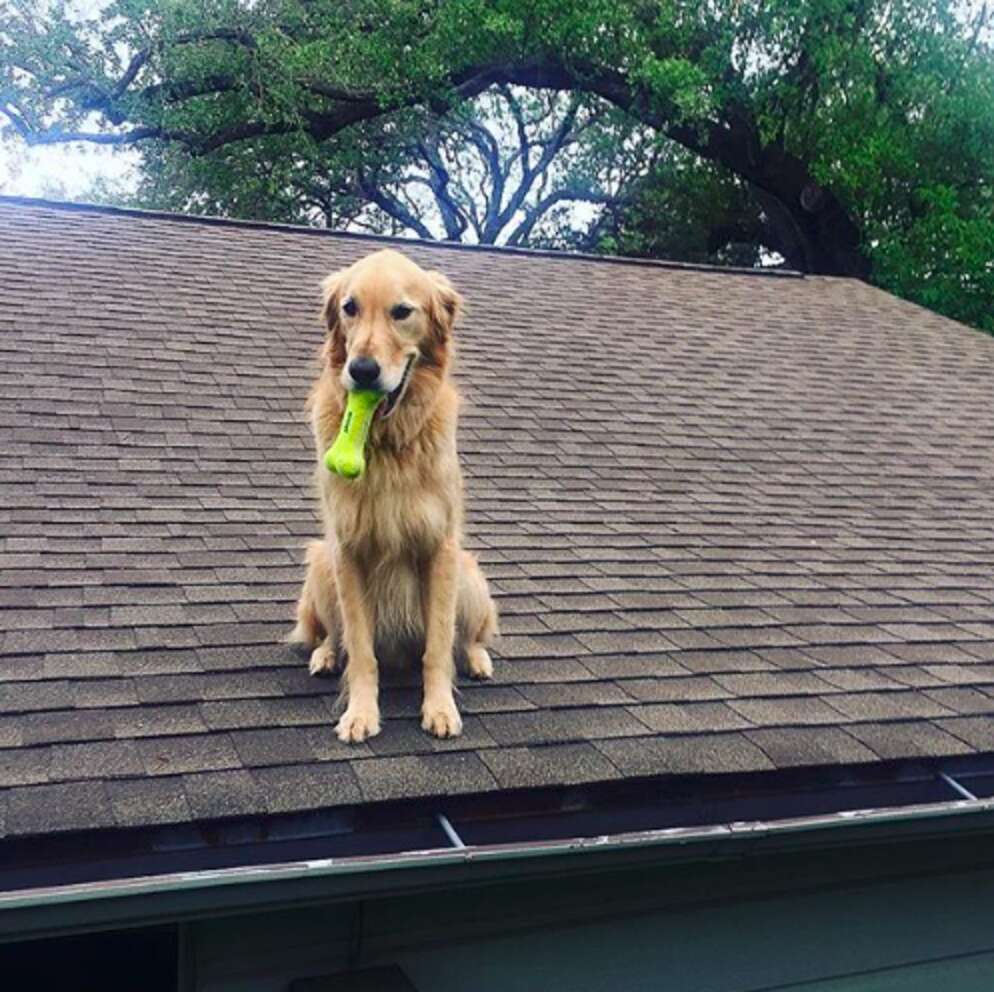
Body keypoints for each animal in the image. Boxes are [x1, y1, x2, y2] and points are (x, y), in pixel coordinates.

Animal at [290, 252, 500, 740]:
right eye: (349, 308)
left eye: (402, 311)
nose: (362, 370)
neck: (386, 442)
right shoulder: (347, 550)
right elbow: (361, 649)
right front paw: (360, 713)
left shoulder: (440, 549)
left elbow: (438, 646)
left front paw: (440, 708)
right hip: (321, 563)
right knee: (331, 634)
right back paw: (325, 654)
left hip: (469, 574)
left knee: (469, 635)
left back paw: (477, 658)